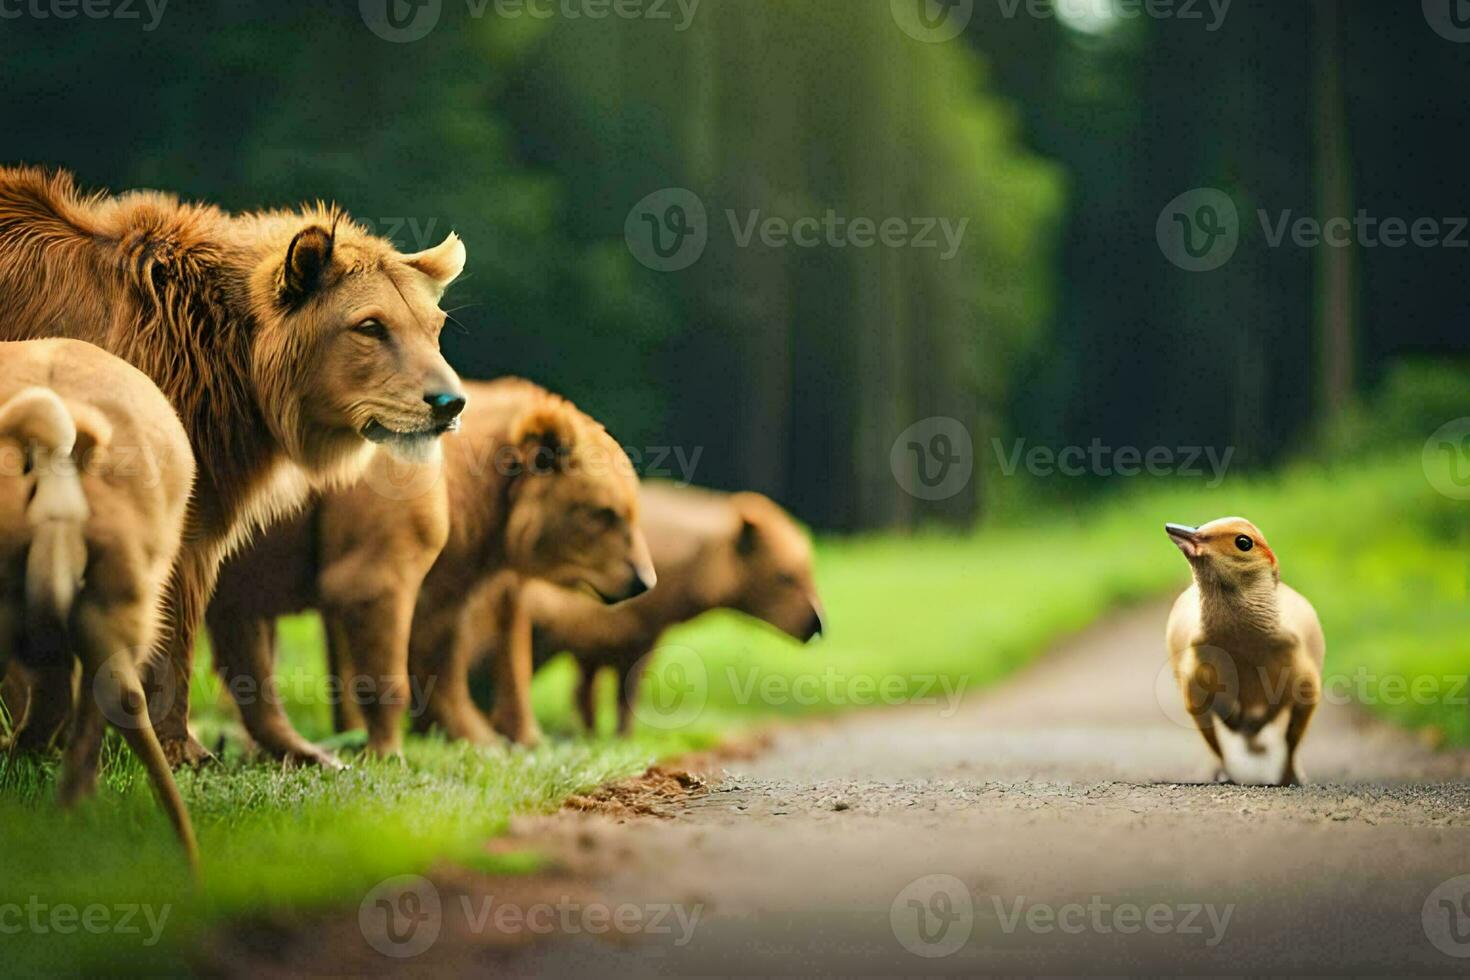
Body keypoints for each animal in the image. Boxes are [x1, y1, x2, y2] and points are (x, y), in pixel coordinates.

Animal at [0, 166, 467, 764]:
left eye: (433, 325)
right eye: (370, 325)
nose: (449, 403)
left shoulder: (201, 501)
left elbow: (181, 622)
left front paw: (179, 747)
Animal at [204, 376, 652, 758]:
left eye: (631, 510)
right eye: (604, 512)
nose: (643, 580)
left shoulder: (455, 571)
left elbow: (455, 646)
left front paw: (489, 737)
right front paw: (399, 744)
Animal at [485, 481, 829, 734]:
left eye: (807, 571)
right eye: (785, 576)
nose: (818, 624)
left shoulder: (615, 644)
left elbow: (601, 699)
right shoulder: (606, 640)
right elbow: (604, 698)